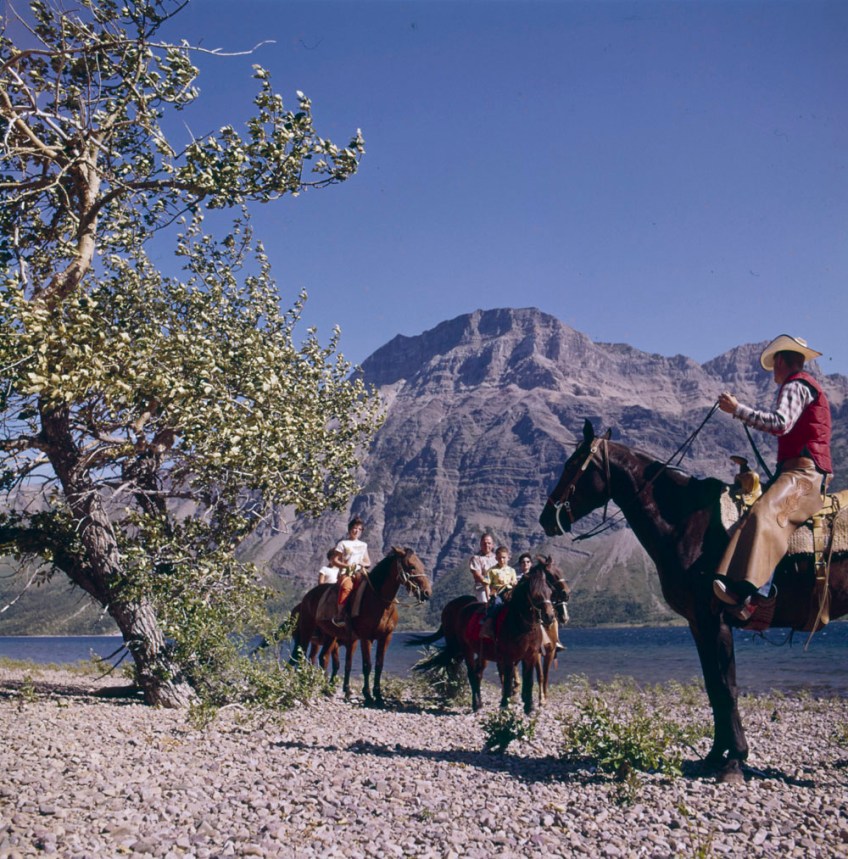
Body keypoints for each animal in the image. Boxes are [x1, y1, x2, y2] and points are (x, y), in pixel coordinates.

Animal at [292, 546, 431, 707]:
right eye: (412, 566)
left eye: (422, 565)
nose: (427, 592)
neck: (379, 601)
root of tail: (308, 596)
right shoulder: (365, 637)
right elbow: (367, 665)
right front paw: (368, 695)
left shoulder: (385, 637)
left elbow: (378, 665)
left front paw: (378, 696)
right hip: (307, 629)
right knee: (302, 656)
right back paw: (302, 686)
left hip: (330, 636)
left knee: (323, 657)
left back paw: (325, 690)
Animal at [409, 562, 558, 714]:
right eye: (535, 594)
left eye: (550, 592)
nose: (549, 616)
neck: (521, 624)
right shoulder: (508, 657)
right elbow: (507, 681)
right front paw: (505, 706)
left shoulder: (531, 656)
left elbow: (529, 681)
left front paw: (529, 708)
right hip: (465, 649)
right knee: (468, 673)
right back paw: (472, 703)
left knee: (475, 673)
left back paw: (475, 702)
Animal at [539, 419, 848, 783]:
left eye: (573, 464)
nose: (546, 518)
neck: (687, 523)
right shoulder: (698, 624)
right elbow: (713, 687)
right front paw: (715, 756)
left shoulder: (714, 619)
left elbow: (727, 687)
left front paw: (734, 761)